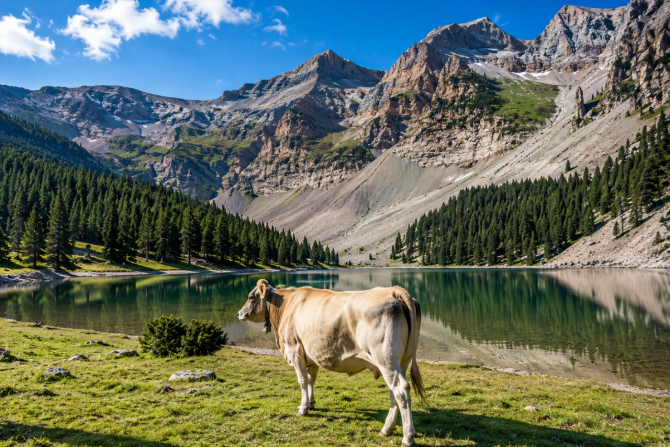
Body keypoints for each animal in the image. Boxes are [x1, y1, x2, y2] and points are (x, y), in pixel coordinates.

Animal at [237, 279, 425, 447]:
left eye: (251, 296)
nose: (239, 313)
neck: (285, 307)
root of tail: (393, 290)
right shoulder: (311, 354)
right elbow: (311, 380)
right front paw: (311, 403)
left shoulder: (294, 349)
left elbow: (302, 381)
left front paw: (303, 408)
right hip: (402, 360)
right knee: (394, 393)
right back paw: (387, 429)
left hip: (386, 359)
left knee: (401, 390)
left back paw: (407, 438)